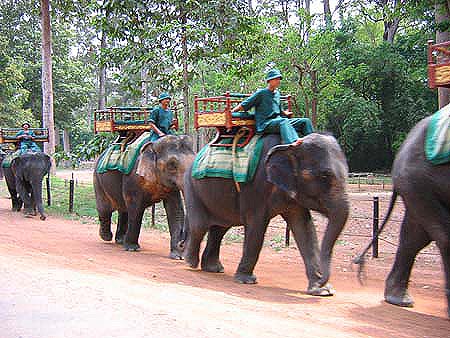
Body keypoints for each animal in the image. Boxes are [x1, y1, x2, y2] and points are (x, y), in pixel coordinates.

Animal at [182, 133, 348, 296]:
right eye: (325, 176)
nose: (323, 281)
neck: (290, 144)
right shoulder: (255, 186)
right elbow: (256, 226)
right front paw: (246, 280)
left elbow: (304, 228)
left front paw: (322, 291)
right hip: (191, 186)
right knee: (200, 225)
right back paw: (190, 262)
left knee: (219, 229)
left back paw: (213, 268)